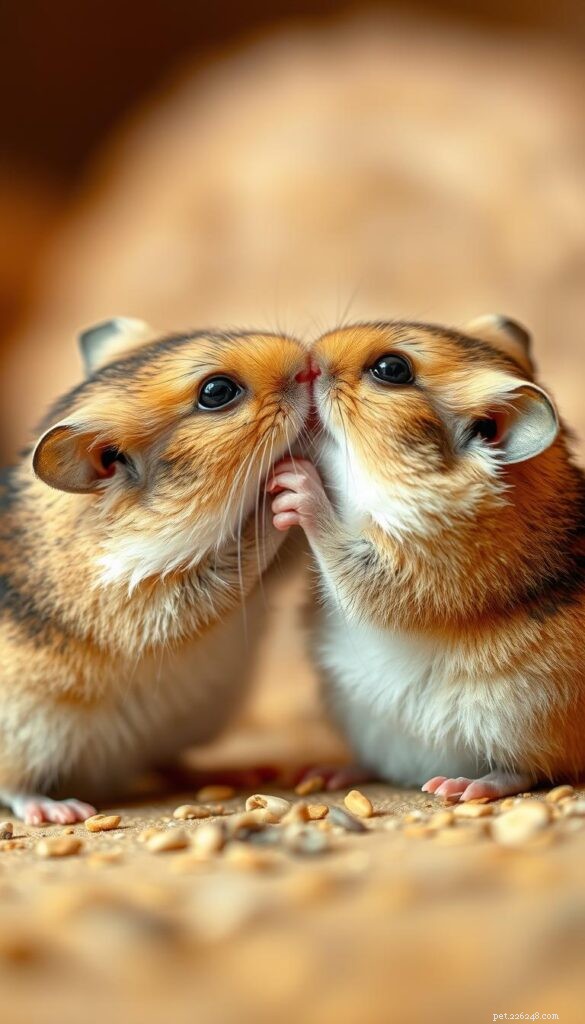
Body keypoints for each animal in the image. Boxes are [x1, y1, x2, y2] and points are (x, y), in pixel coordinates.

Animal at [0, 317, 311, 823]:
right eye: (217, 392)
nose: (310, 363)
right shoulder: (147, 599)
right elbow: (242, 545)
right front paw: (286, 481)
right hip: (26, 736)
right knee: (15, 787)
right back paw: (59, 810)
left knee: (168, 763)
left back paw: (243, 773)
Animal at [268, 316, 585, 801]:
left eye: (392, 369)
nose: (308, 362)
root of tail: (422, 769)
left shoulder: (414, 572)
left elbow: (343, 555)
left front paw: (295, 483)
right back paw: (327, 773)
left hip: (525, 718)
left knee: (527, 771)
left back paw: (462, 787)